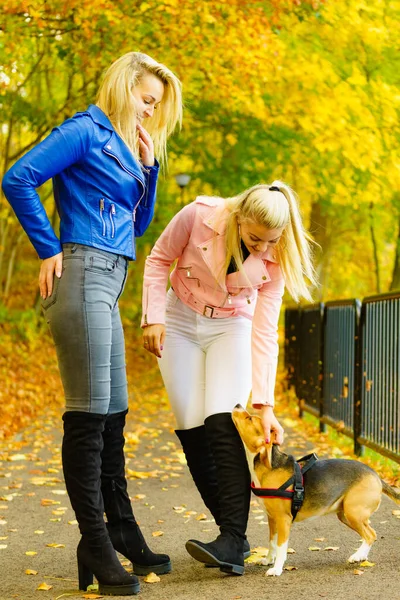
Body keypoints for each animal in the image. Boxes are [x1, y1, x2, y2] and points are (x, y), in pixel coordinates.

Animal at [231, 404, 400, 576]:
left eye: (249, 419)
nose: (237, 405)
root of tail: (376, 475)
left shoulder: (283, 519)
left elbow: (281, 547)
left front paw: (276, 569)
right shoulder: (272, 518)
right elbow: (272, 542)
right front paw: (268, 560)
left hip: (354, 512)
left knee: (371, 535)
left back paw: (357, 555)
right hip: (346, 515)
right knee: (370, 534)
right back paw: (361, 556)